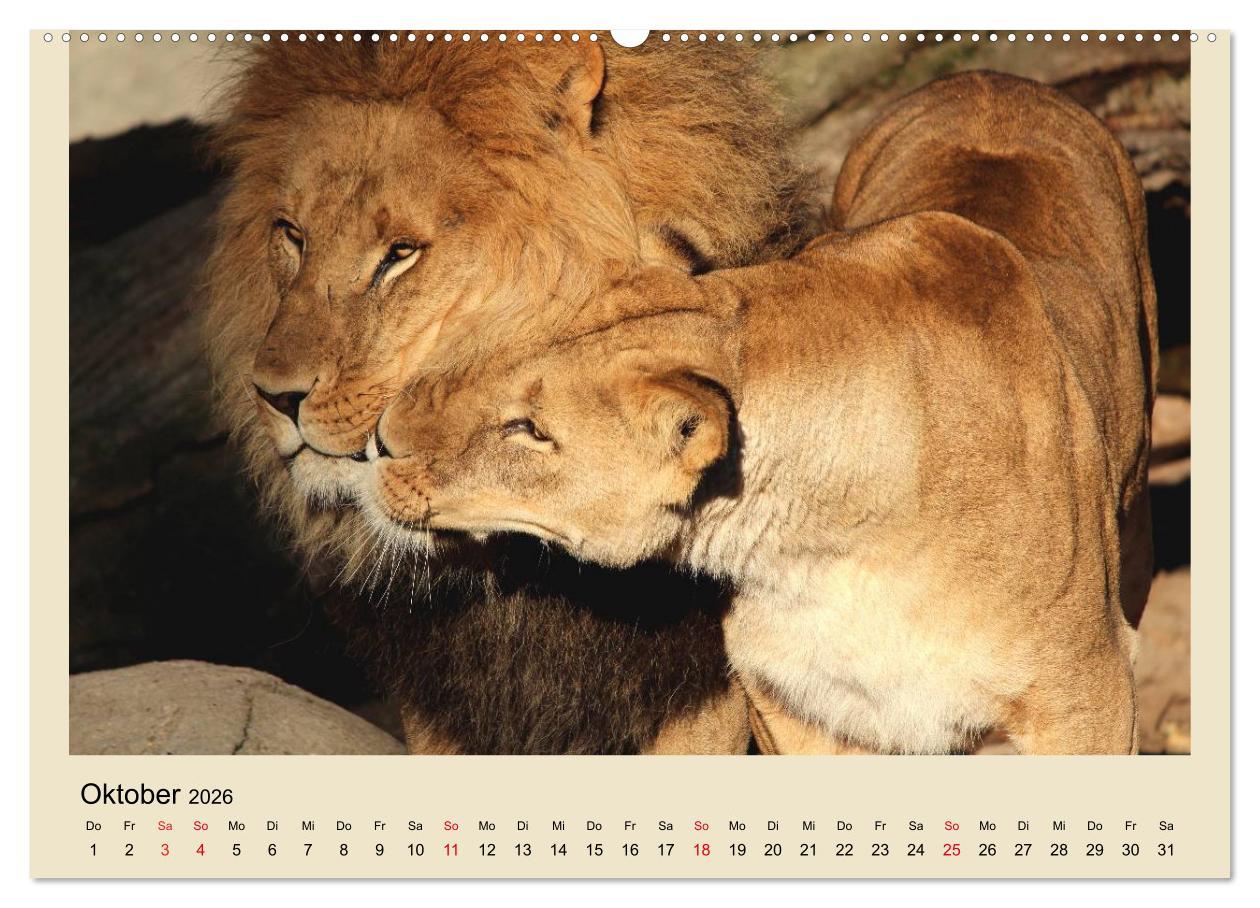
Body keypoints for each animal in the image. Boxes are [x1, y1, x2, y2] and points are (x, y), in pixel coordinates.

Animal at [360, 72, 1157, 754]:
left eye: (530, 430)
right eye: (489, 352)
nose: (378, 442)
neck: (824, 550)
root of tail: (995, 78)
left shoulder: (1088, 693)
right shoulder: (792, 699)